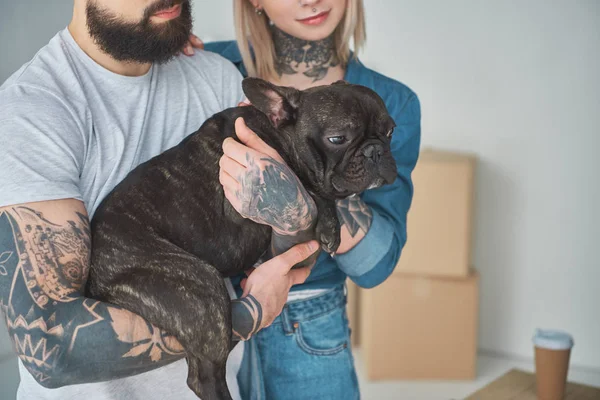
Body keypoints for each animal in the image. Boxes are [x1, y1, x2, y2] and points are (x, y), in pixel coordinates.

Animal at [84, 78, 398, 400]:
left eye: (390, 131)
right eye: (338, 139)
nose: (376, 151)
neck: (276, 133)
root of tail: (97, 276)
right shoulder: (244, 201)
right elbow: (303, 183)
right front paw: (330, 223)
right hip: (200, 285)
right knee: (204, 376)